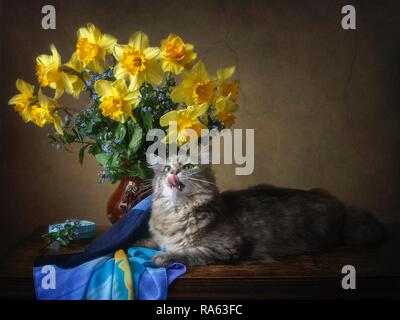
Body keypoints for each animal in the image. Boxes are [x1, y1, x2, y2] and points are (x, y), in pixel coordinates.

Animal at [135, 154, 388, 266]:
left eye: (188, 166)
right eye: (166, 168)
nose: (173, 172)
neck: (176, 213)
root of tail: (341, 205)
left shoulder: (225, 247)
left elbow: (186, 253)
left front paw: (162, 257)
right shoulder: (160, 236)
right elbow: (147, 241)